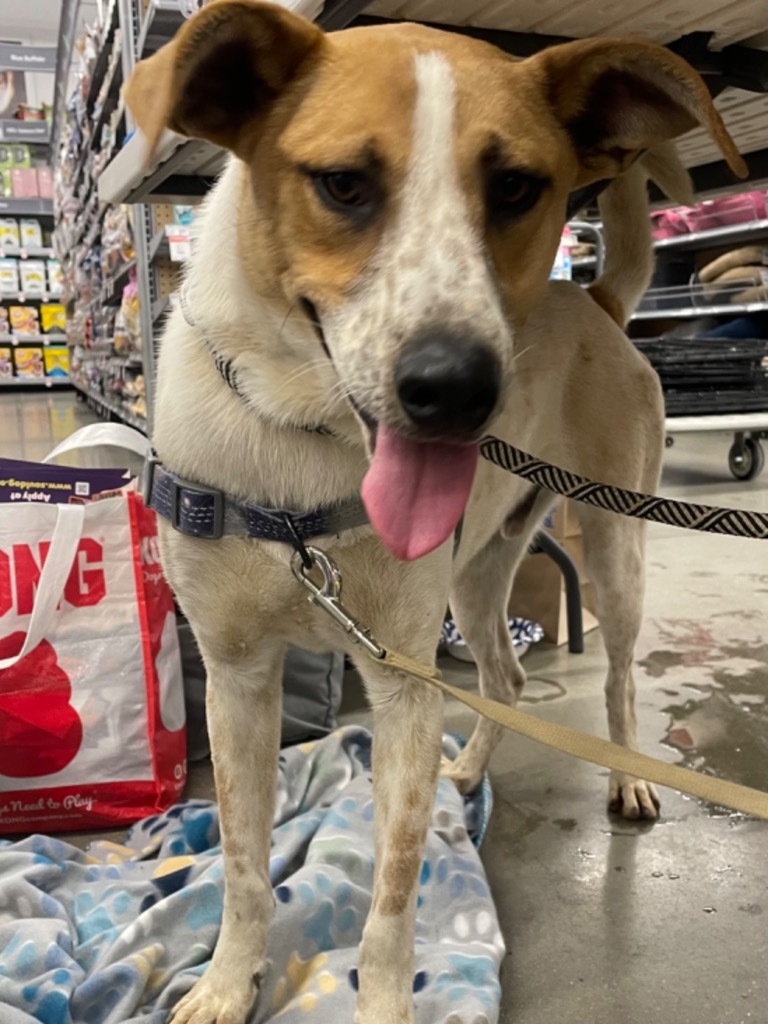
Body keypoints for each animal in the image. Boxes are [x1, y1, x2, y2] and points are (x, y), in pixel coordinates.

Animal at [124, 4, 745, 1019]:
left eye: (518, 188)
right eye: (343, 184)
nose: (455, 390)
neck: (303, 440)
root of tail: (598, 299)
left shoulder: (406, 688)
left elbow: (393, 892)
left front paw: (381, 1001)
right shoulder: (237, 677)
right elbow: (246, 866)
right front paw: (225, 982)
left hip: (616, 545)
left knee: (616, 681)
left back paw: (628, 780)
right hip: (476, 572)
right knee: (506, 676)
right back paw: (473, 769)